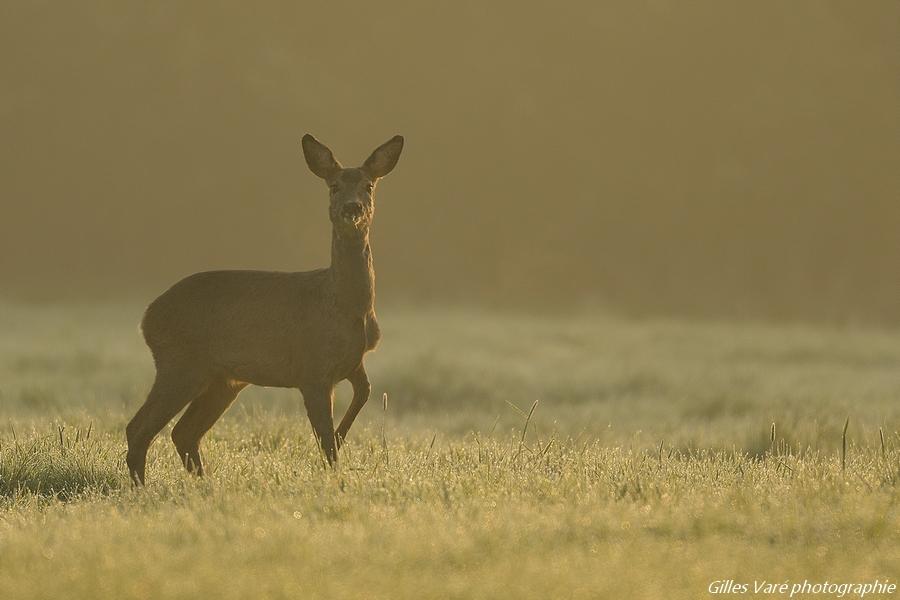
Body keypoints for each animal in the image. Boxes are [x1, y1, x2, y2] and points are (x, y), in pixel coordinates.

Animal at [124, 135, 404, 482]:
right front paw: (333, 470)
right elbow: (324, 438)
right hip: (180, 362)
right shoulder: (312, 369)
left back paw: (204, 484)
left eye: (368, 185)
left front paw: (342, 437)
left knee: (183, 432)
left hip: (223, 379)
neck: (346, 305)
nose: (352, 207)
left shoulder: (353, 362)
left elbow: (365, 392)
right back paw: (143, 486)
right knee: (139, 427)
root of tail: (147, 317)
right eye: (334, 186)